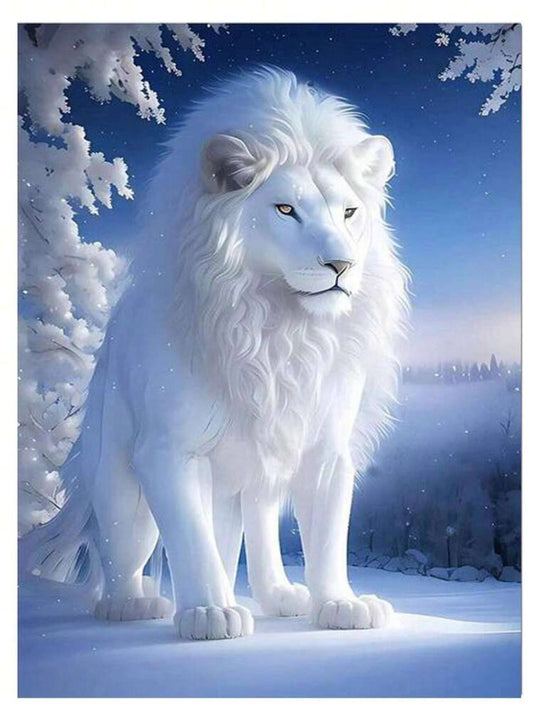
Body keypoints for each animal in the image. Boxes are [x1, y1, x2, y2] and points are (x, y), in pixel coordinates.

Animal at [22, 67, 410, 640]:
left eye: (349, 212)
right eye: (286, 209)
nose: (341, 264)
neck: (280, 328)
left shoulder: (325, 448)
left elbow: (327, 535)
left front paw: (341, 605)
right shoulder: (167, 450)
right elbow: (190, 538)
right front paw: (208, 613)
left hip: (254, 472)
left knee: (254, 530)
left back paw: (277, 597)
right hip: (119, 473)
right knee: (125, 545)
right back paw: (130, 604)